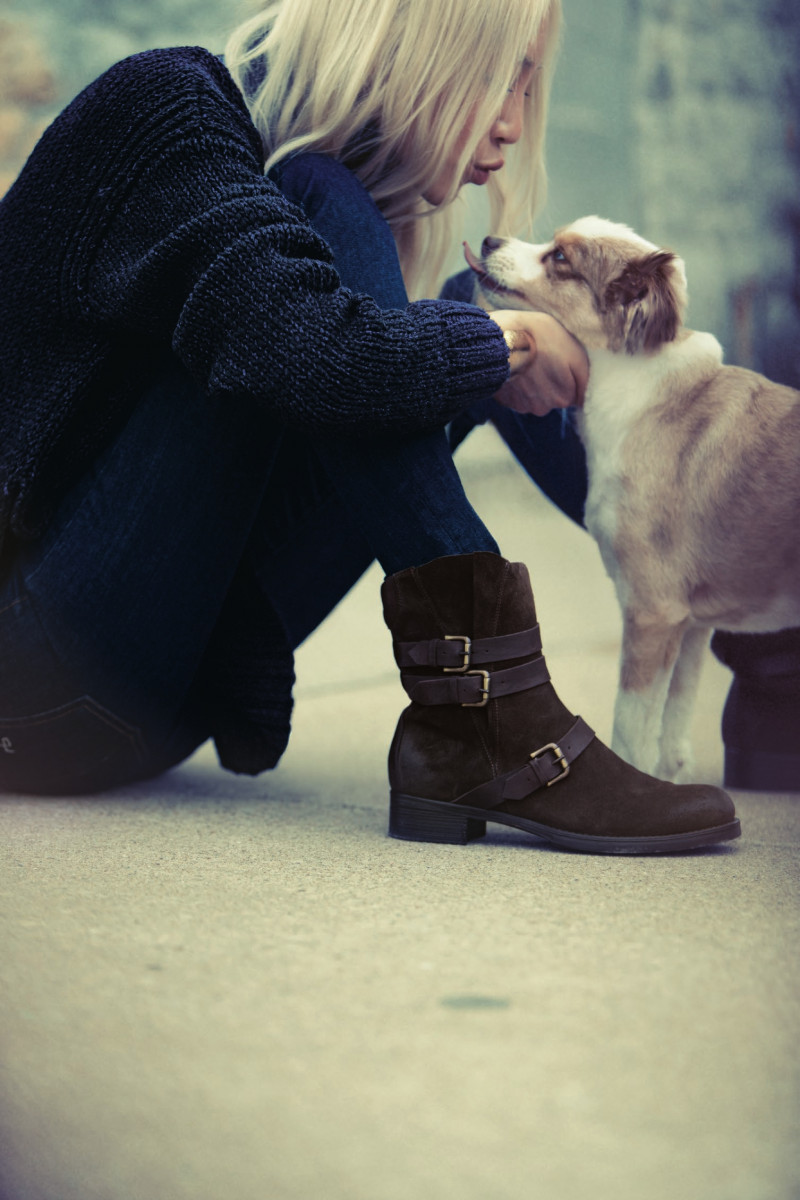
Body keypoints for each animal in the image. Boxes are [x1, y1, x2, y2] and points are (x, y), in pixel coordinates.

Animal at [462, 214, 800, 777]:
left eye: (561, 258)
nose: (489, 240)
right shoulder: (692, 625)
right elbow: (672, 730)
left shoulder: (652, 611)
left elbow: (631, 730)